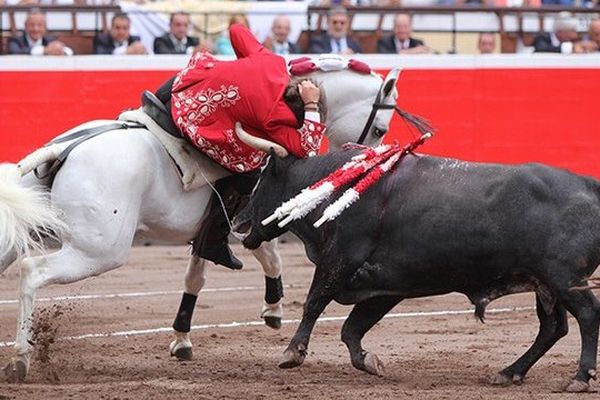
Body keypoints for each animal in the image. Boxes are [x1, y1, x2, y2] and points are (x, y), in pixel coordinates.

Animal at [1, 65, 404, 382]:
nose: (364, 159)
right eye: (380, 129)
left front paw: (181, 339)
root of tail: (61, 149)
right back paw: (20, 358)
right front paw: (273, 309)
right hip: (99, 250)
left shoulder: (209, 230)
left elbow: (196, 275)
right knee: (33, 271)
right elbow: (269, 255)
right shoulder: (255, 215)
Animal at [236, 149, 600, 390]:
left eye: (258, 183)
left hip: (565, 279)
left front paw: (292, 352)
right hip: (545, 283)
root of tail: (589, 185)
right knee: (552, 328)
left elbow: (314, 303)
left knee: (586, 315)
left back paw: (580, 378)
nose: (238, 221)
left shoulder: (338, 261)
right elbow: (351, 329)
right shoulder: (385, 287)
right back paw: (510, 372)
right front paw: (369, 362)